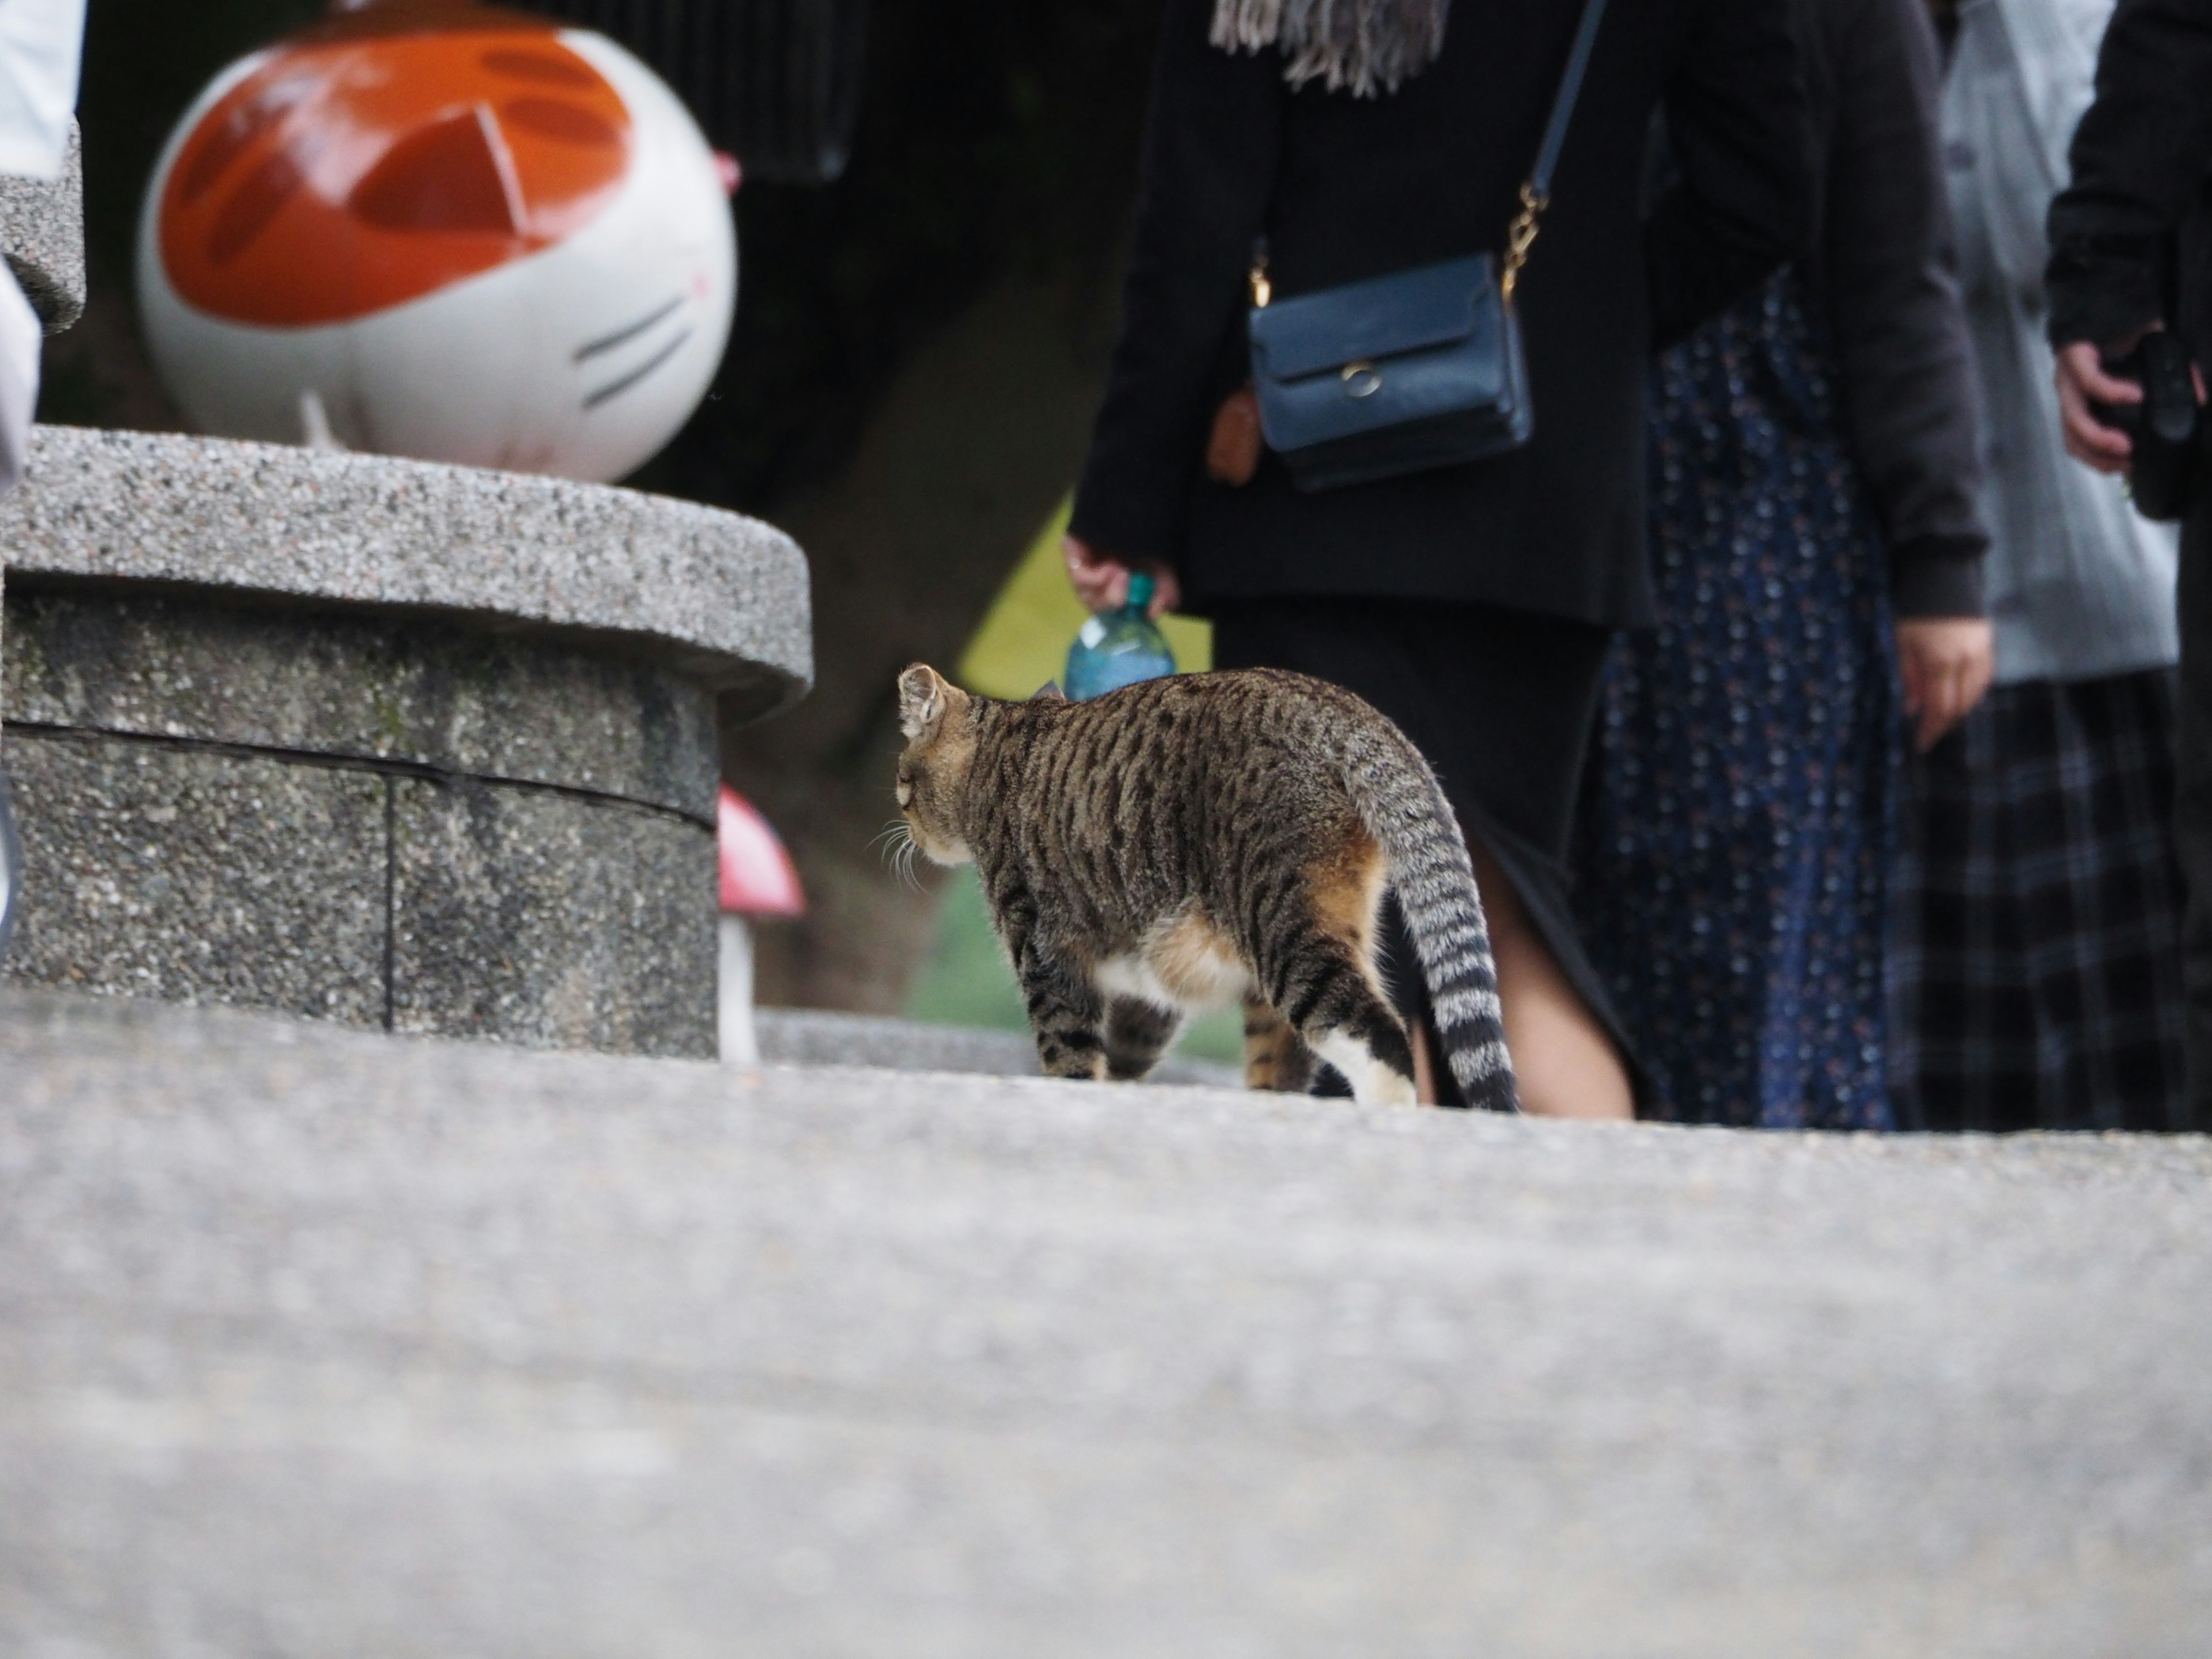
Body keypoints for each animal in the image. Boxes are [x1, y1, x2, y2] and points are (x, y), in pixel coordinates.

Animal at [889, 668, 1513, 1119]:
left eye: (901, 780)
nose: (908, 831)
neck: (1000, 754)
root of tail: (1340, 706)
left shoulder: (1047, 955)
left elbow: (1070, 1057)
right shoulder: (1148, 980)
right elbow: (1124, 1058)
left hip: (1284, 928)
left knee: (1378, 1039)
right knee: (1282, 1066)